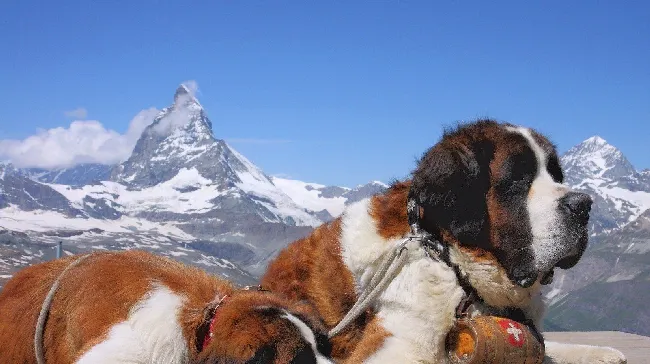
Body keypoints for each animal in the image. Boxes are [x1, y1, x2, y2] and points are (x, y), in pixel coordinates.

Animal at [260, 120, 624, 364]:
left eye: (557, 175)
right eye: (518, 179)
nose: (583, 205)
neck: (449, 259)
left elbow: (546, 349)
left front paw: (600, 353)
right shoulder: (388, 349)